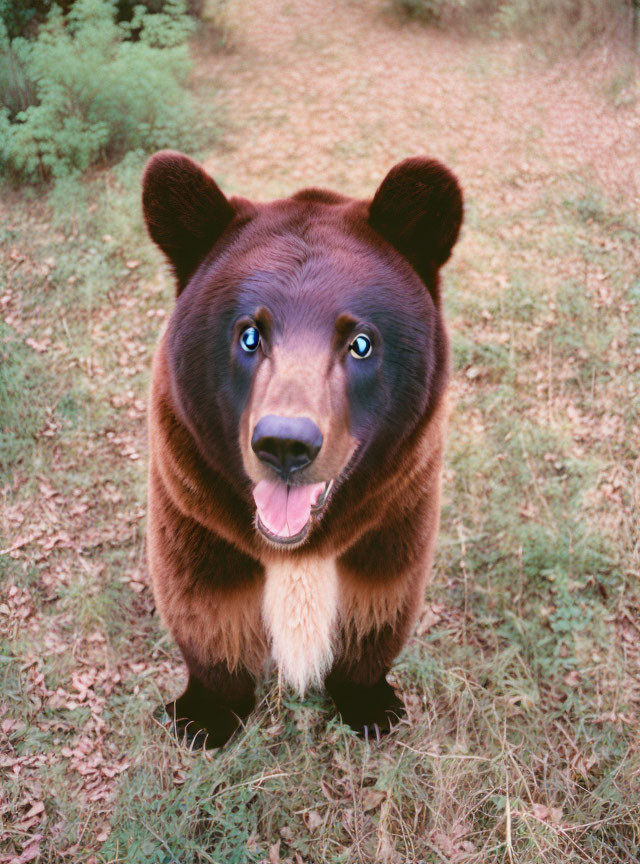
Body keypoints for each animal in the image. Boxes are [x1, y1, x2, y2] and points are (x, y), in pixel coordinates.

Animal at [141, 152, 460, 744]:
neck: (297, 542)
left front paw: (371, 704)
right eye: (249, 334)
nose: (284, 444)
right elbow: (203, 602)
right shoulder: (192, 498)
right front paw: (204, 715)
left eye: (361, 343)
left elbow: (383, 596)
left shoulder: (397, 505)